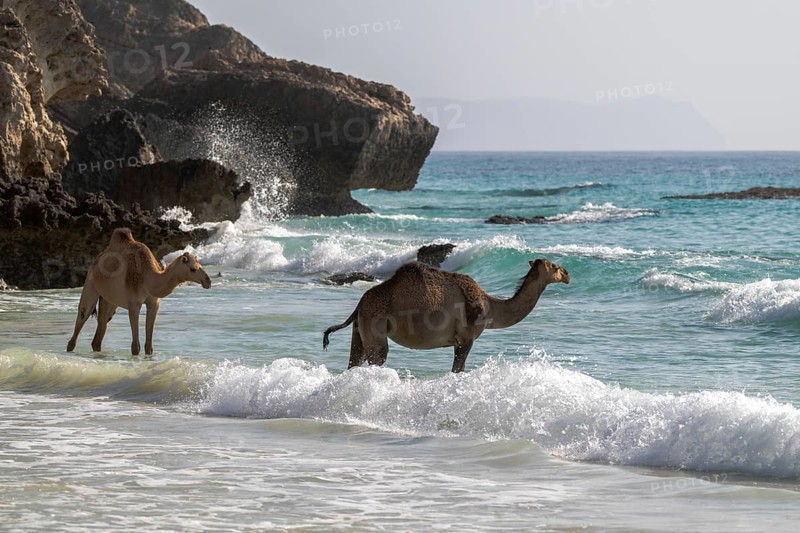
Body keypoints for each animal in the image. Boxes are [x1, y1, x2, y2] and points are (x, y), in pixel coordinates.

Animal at [67, 228, 212, 355]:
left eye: (200, 266)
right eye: (193, 269)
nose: (208, 281)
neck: (148, 279)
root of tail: (98, 258)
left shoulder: (154, 303)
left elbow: (149, 346)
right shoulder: (133, 304)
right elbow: (135, 346)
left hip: (109, 300)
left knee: (100, 329)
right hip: (90, 283)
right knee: (83, 314)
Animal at [323, 258, 570, 373]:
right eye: (555, 266)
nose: (568, 274)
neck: (489, 306)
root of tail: (359, 304)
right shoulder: (465, 338)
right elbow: (457, 370)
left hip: (359, 327)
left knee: (354, 361)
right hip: (375, 326)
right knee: (378, 356)